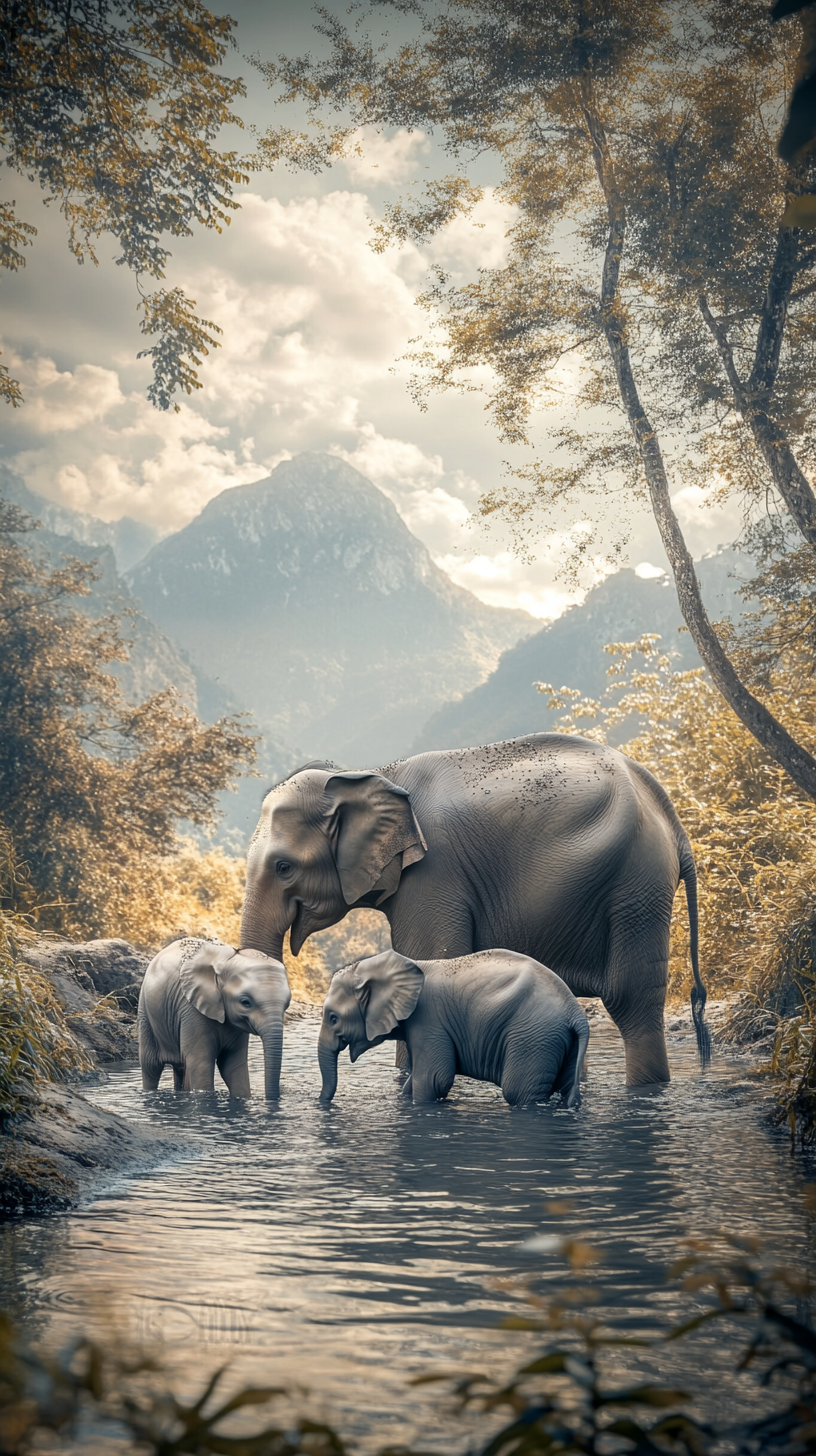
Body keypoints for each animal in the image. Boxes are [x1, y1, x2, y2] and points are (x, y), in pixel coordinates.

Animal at [138, 937, 291, 1094]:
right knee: (151, 1067)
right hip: (145, 1013)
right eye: (245, 1002)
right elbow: (201, 1065)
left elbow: (233, 1066)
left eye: (287, 1004)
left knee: (180, 1068)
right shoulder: (192, 1010)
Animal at [240, 733, 708, 1089]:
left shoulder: (434, 875)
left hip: (637, 887)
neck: (370, 773)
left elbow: (431, 961)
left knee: (632, 999)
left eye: (284, 867)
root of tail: (674, 823)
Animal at [316, 949, 588, 1106]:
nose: (321, 1102)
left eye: (333, 1018)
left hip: (533, 1037)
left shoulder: (428, 1020)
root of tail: (576, 1014)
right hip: (557, 1041)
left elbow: (434, 1079)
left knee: (518, 1092)